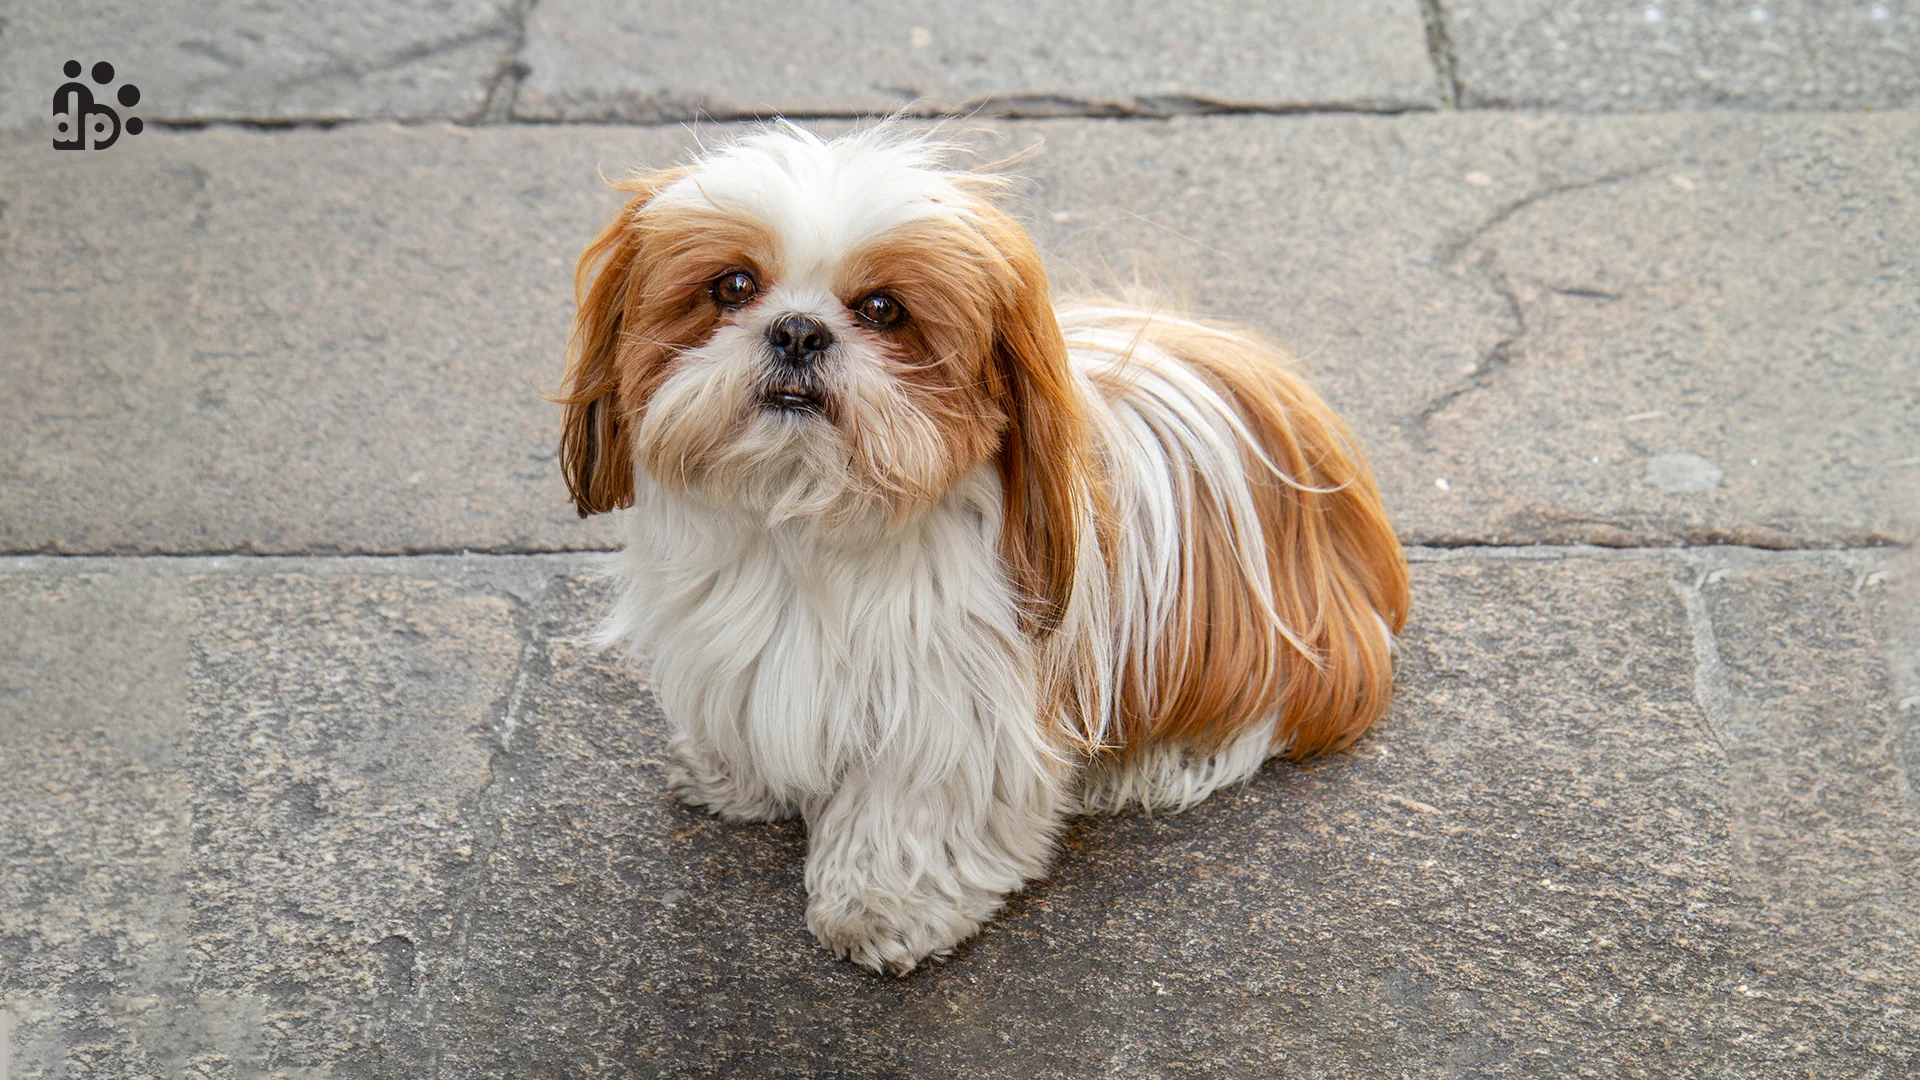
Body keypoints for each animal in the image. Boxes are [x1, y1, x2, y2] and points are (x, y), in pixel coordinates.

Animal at [556, 122, 1413, 972]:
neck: (808, 522)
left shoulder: (950, 706)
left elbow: (909, 809)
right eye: (733, 287)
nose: (798, 330)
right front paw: (734, 776)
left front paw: (880, 907)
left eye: (883, 309)